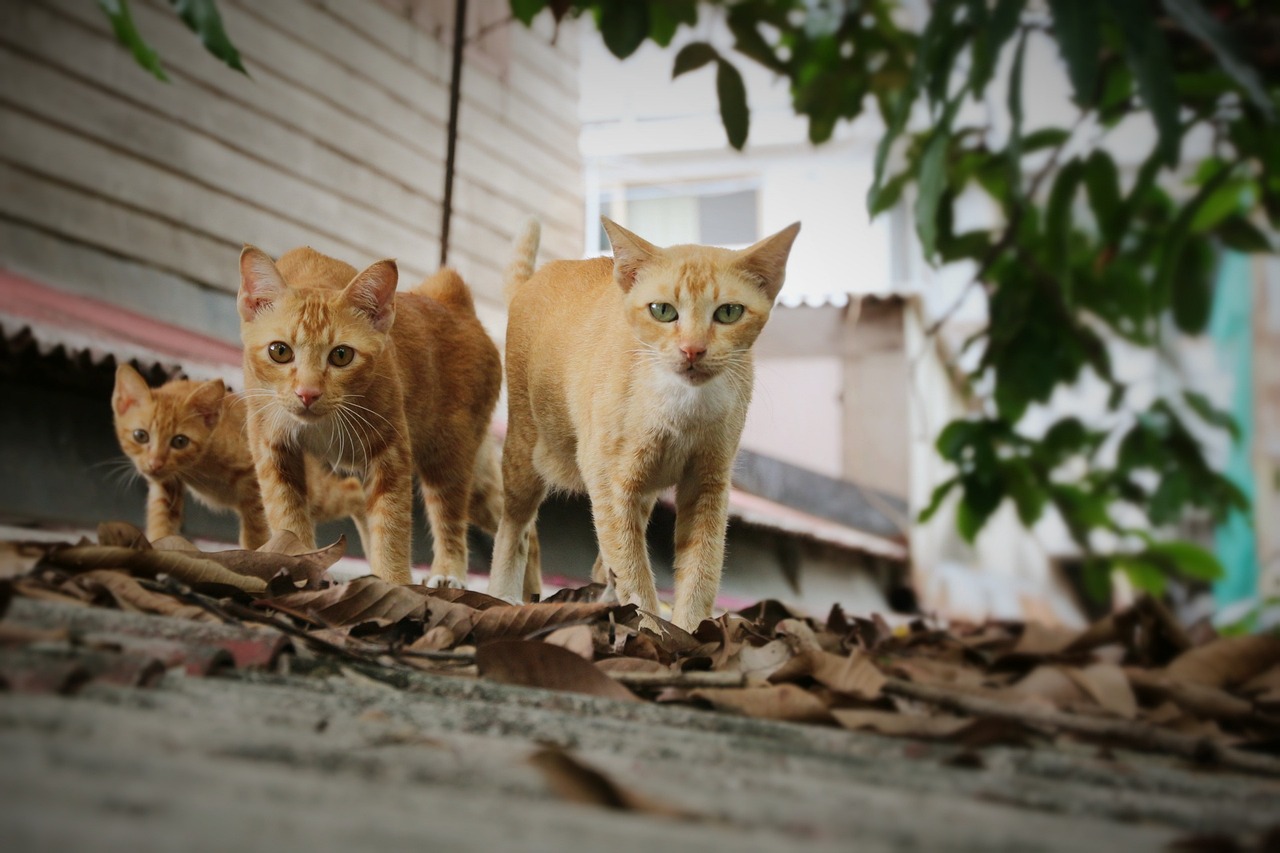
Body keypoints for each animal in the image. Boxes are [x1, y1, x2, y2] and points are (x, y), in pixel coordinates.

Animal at [112, 361, 368, 548]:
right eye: (140, 436)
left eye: (180, 441)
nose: (154, 464)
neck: (197, 465)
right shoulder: (166, 484)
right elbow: (161, 520)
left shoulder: (254, 480)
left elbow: (255, 530)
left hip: (315, 493)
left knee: (354, 488)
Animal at [239, 245, 504, 584]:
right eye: (280, 351)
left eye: (341, 355)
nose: (307, 394)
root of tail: (454, 302)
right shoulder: (272, 449)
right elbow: (288, 518)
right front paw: (298, 571)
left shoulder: (390, 455)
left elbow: (391, 529)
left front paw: (395, 583)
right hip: (476, 476)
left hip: (448, 458)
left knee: (455, 521)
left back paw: (450, 573)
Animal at [488, 212, 798, 625]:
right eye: (662, 311)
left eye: (729, 312)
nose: (692, 350)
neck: (684, 408)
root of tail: (536, 278)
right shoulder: (609, 481)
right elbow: (634, 572)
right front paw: (651, 628)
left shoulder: (708, 484)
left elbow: (701, 569)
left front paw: (691, 630)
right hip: (526, 452)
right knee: (515, 527)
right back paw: (504, 595)